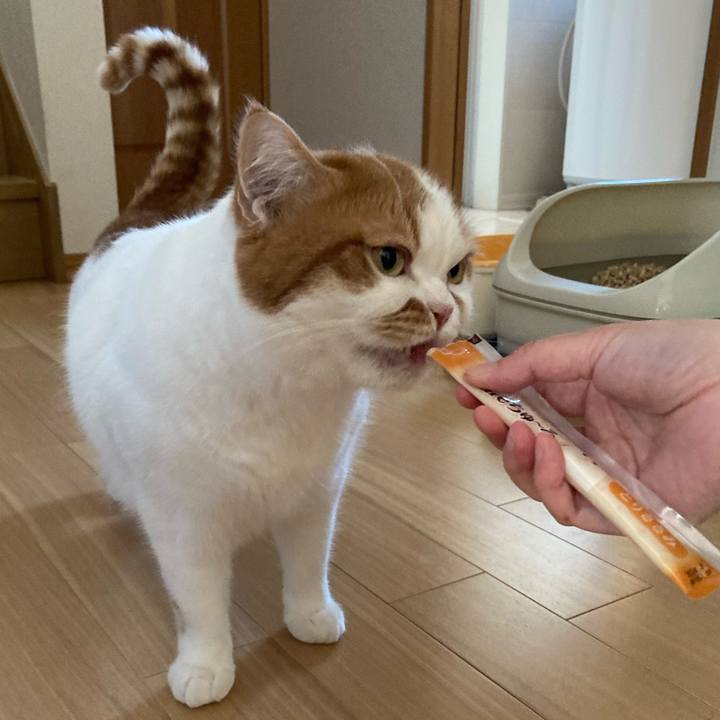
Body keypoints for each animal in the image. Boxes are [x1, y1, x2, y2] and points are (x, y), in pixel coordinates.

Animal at [65, 27, 473, 708]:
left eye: (457, 271)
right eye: (389, 259)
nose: (445, 311)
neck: (285, 383)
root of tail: (138, 219)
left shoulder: (318, 492)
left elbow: (309, 562)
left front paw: (309, 614)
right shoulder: (185, 520)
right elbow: (199, 601)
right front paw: (205, 664)